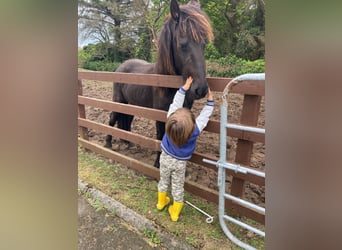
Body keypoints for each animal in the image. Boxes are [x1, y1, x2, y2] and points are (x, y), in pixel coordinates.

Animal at [104, 0, 212, 168]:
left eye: (204, 43)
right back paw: (108, 143)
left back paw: (128, 142)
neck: (167, 84)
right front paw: (158, 163)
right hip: (119, 101)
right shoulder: (160, 115)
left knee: (126, 120)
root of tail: (121, 67)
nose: (200, 89)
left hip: (131, 104)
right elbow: (160, 136)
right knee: (113, 118)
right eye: (182, 44)